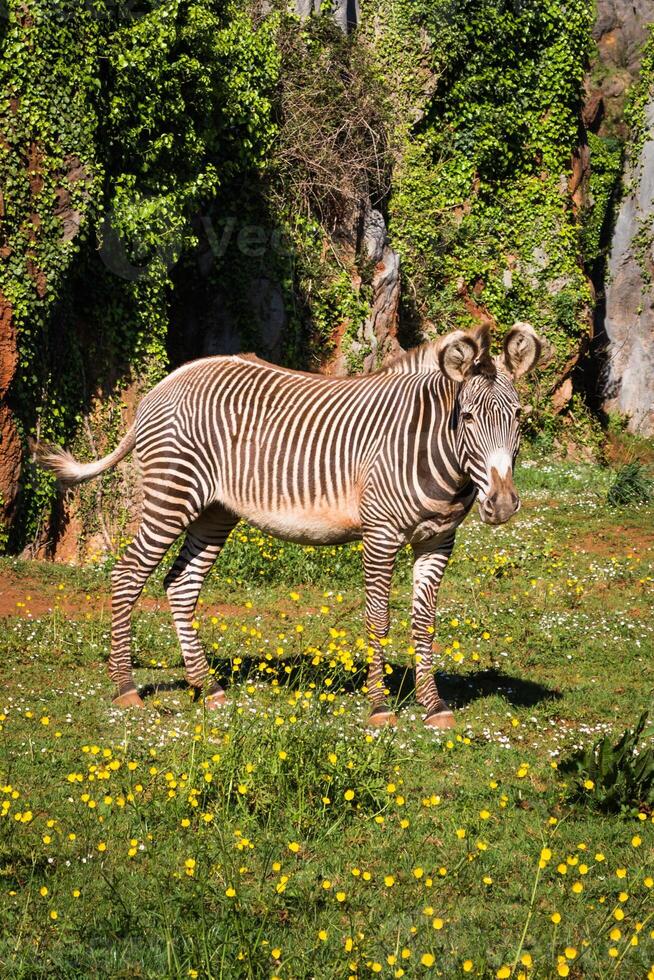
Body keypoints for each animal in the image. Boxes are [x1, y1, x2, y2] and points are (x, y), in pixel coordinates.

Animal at [34, 322, 548, 728]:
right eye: (468, 417)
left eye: (518, 417)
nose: (502, 505)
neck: (431, 450)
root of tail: (166, 383)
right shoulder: (380, 534)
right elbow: (378, 617)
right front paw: (380, 707)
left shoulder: (438, 539)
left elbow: (424, 621)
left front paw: (433, 705)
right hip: (171, 495)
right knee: (127, 575)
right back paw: (125, 687)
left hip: (214, 510)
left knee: (181, 585)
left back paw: (208, 687)